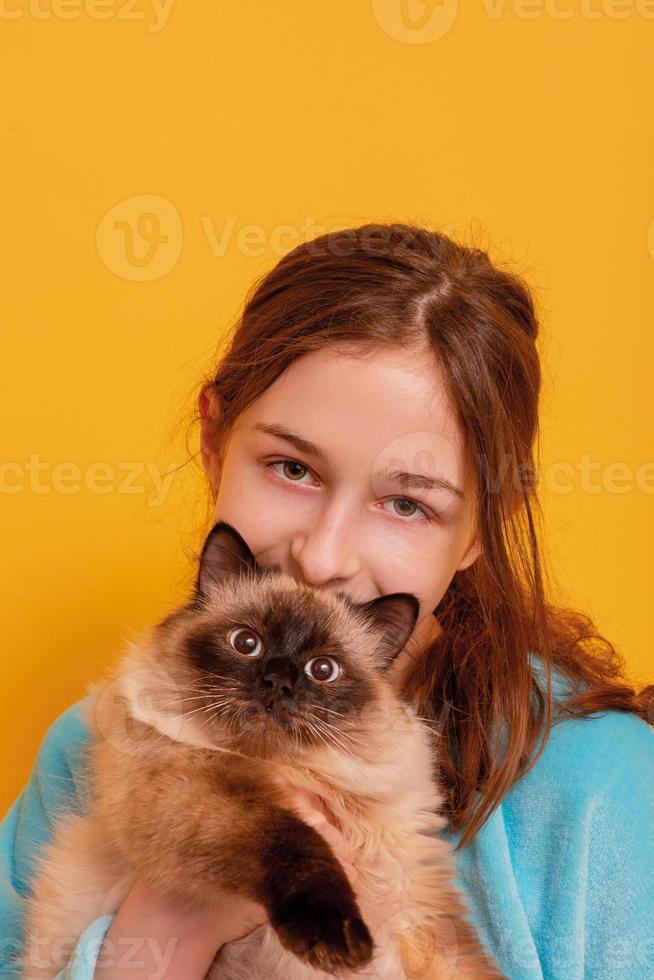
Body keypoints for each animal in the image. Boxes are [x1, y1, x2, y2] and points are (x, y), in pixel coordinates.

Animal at [18, 520, 504, 980]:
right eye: (246, 644)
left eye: (323, 670)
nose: (278, 682)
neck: (291, 769)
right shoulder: (197, 797)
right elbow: (297, 844)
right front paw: (337, 939)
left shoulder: (416, 910)